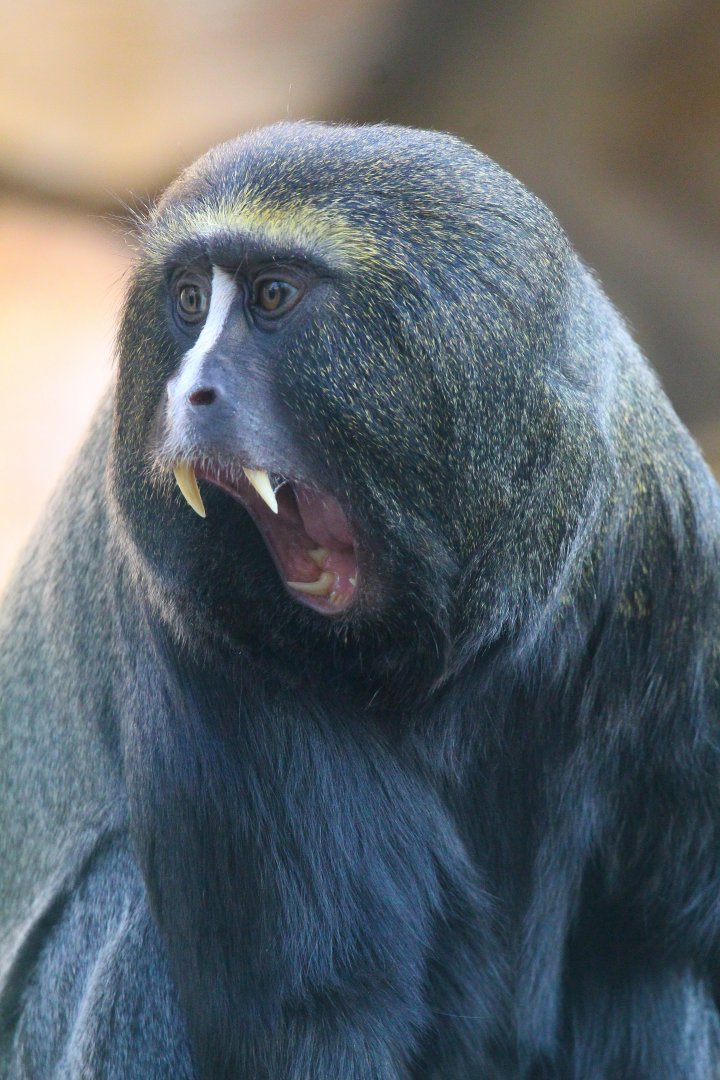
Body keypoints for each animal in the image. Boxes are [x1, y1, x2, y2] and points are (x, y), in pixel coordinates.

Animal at [1, 120, 720, 1079]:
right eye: (189, 301)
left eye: (272, 297)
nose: (188, 391)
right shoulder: (188, 626)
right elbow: (322, 1016)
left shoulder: (673, 557)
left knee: (649, 959)